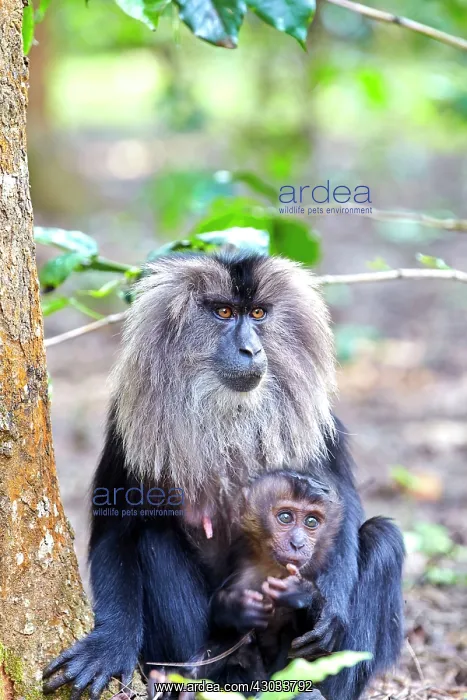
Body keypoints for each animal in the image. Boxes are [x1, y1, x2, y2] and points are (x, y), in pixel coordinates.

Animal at [43, 252, 404, 700]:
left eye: (258, 313)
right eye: (224, 313)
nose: (250, 348)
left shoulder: (322, 424)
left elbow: (345, 504)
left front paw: (330, 609)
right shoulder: (126, 422)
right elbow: (117, 533)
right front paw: (109, 645)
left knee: (384, 537)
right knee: (152, 536)